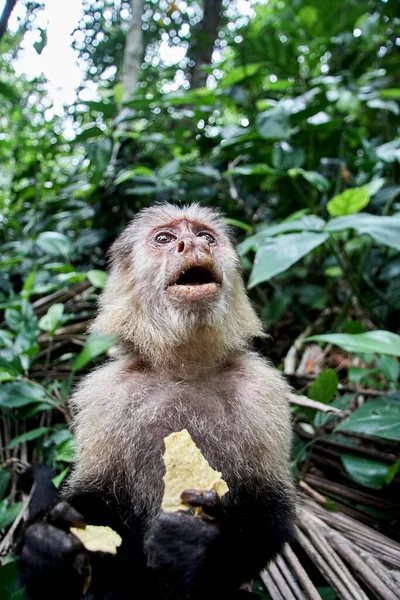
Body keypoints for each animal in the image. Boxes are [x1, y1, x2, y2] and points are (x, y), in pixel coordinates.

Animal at [17, 205, 296, 600]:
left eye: (206, 236)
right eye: (164, 238)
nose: (192, 243)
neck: (184, 371)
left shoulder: (263, 390)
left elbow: (268, 508)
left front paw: (196, 549)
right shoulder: (105, 394)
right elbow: (97, 501)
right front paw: (49, 551)